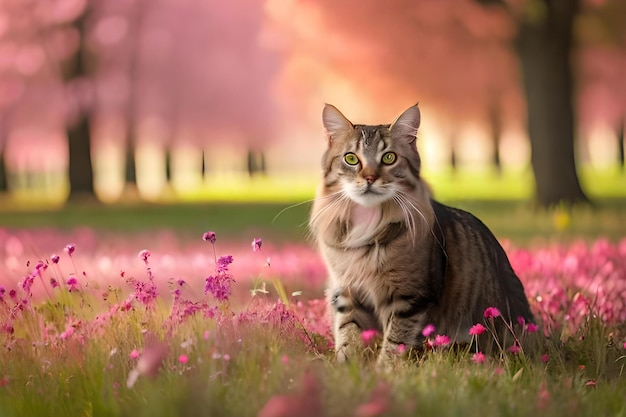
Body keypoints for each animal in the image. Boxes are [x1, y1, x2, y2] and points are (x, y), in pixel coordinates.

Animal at [308, 102, 532, 366]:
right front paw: (348, 366)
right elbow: (348, 333)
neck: (369, 221)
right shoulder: (346, 291)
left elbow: (396, 342)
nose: (370, 178)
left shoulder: (411, 298)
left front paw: (384, 370)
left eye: (389, 157)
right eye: (351, 159)